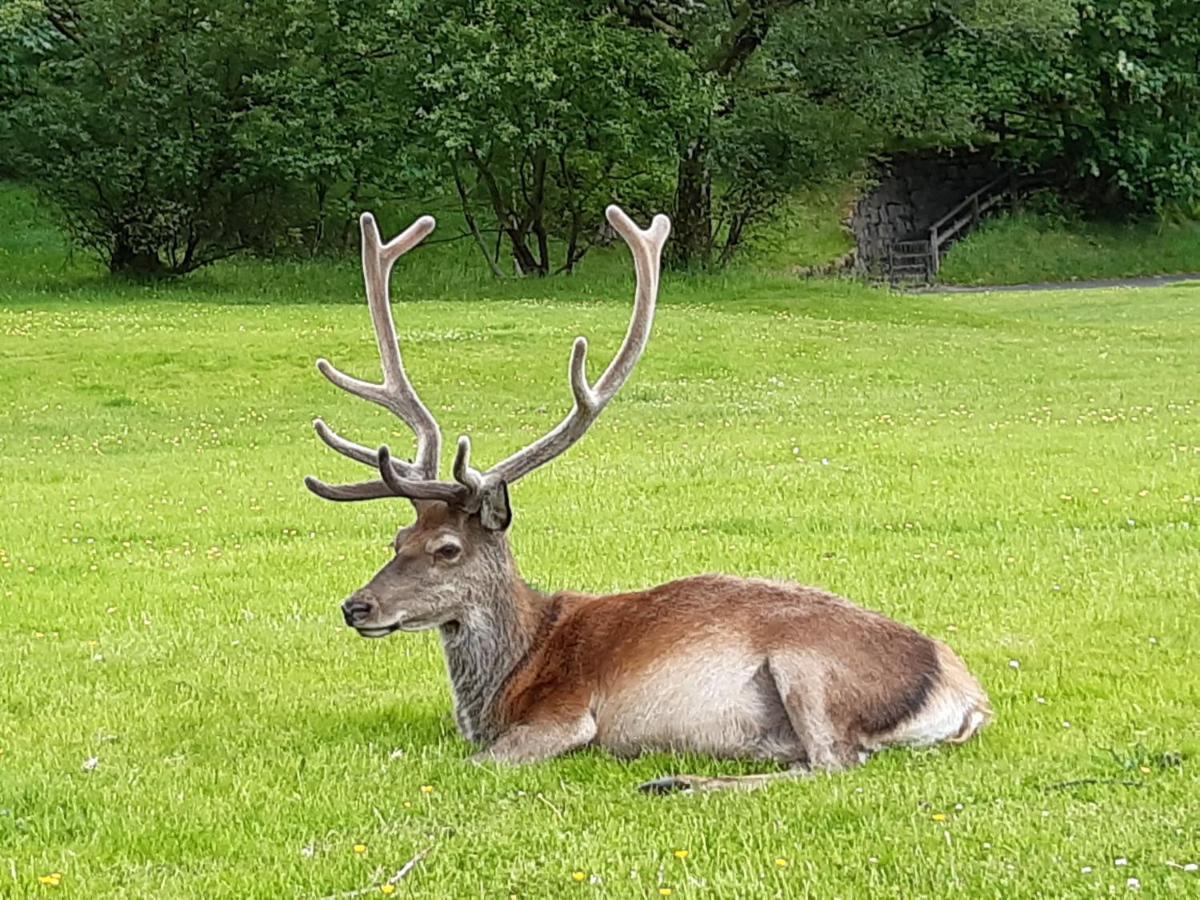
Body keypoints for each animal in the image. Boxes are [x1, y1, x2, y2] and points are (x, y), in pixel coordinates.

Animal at [302, 206, 993, 796]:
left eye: (447, 548)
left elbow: (473, 763)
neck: (507, 679)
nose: (356, 605)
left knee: (834, 763)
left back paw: (676, 780)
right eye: (397, 539)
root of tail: (967, 697)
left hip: (810, 667)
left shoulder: (565, 715)